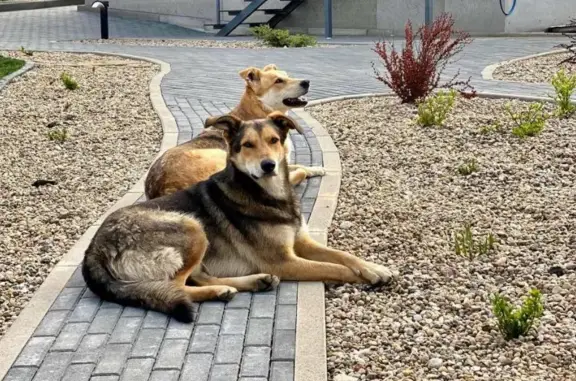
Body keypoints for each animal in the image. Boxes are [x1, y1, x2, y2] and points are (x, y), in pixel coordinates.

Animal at [82, 113, 396, 320]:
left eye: (273, 140)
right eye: (247, 145)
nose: (268, 165)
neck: (267, 194)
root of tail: (93, 251)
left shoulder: (301, 242)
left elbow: (343, 255)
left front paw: (374, 268)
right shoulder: (285, 261)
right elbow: (335, 268)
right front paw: (364, 276)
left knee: (197, 277)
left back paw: (248, 283)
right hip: (191, 227)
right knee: (178, 286)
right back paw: (222, 290)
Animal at [144, 63, 326, 199]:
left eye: (287, 75)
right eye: (279, 81)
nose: (307, 82)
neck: (258, 111)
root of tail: (165, 188)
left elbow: (300, 164)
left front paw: (317, 168)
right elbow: (297, 169)